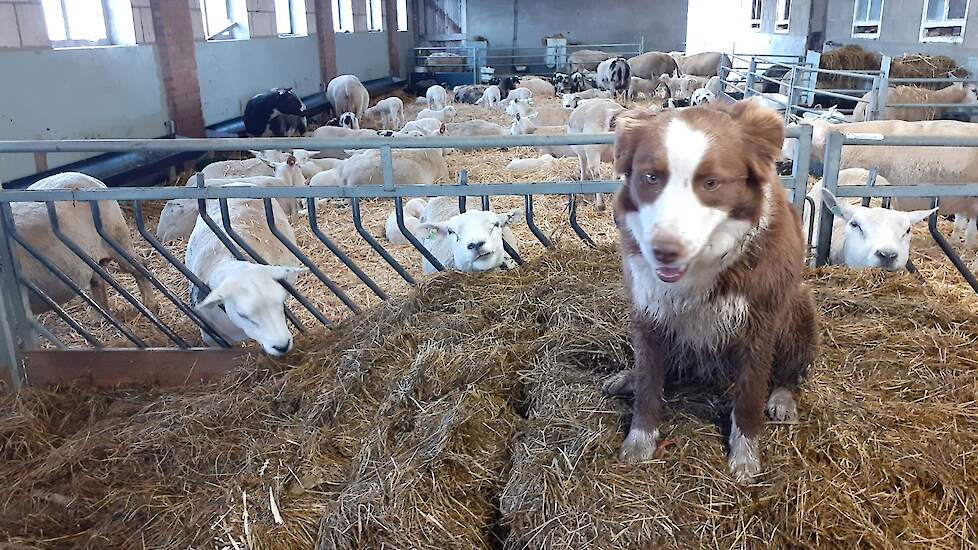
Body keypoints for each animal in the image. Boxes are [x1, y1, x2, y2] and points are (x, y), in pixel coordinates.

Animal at [608, 102, 820, 484]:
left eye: (710, 183)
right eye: (651, 177)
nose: (664, 252)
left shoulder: (758, 323)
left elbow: (749, 396)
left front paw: (744, 456)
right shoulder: (648, 312)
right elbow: (649, 382)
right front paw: (639, 440)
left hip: (799, 307)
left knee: (788, 371)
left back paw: (782, 399)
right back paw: (626, 377)